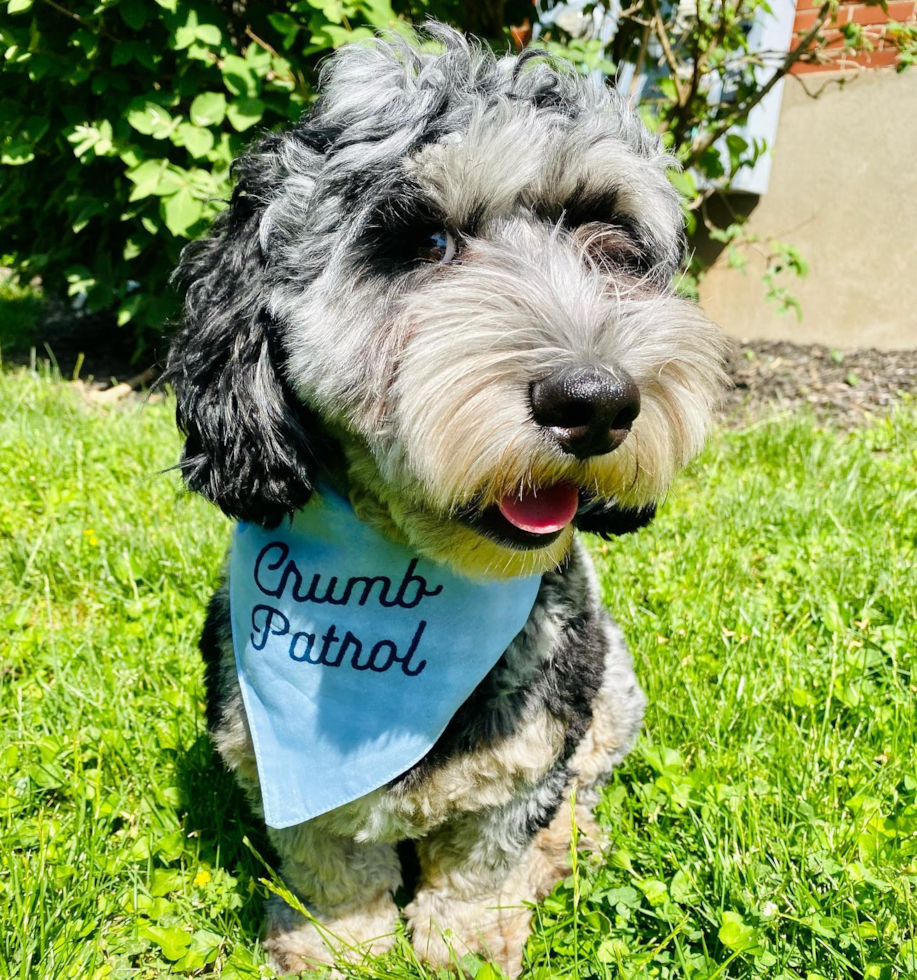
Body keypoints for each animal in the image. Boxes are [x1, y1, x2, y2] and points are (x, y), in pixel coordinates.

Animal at [163, 24, 724, 980]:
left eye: (608, 236)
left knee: (584, 784)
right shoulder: (265, 763)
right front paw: (332, 944)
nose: (597, 401)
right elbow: (329, 862)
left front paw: (467, 940)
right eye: (421, 242)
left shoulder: (531, 757)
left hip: (612, 682)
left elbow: (483, 858)